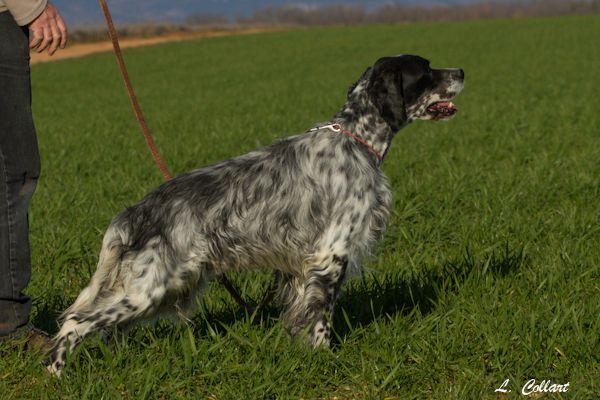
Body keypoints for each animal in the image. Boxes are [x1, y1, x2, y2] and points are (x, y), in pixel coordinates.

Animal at [49, 54, 466, 376]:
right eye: (426, 71)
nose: (462, 71)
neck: (356, 140)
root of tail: (136, 212)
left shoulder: (300, 266)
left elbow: (299, 314)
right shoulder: (331, 254)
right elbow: (321, 316)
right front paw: (325, 358)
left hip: (155, 288)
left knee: (108, 329)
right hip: (150, 288)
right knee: (75, 322)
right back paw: (56, 373)